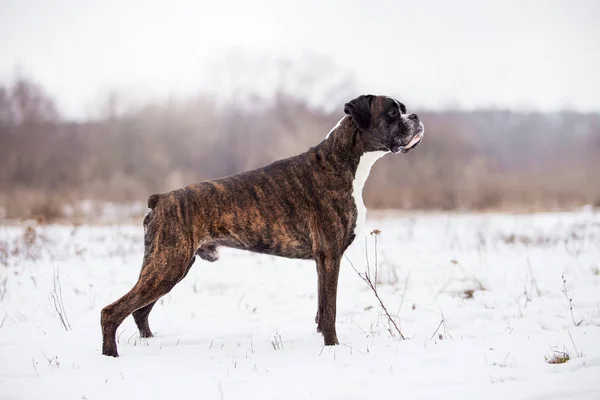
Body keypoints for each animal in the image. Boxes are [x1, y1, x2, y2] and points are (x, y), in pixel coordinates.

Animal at [101, 94, 424, 356]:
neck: (342, 161)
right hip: (167, 266)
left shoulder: (323, 261)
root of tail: (161, 199)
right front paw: (333, 348)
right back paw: (111, 355)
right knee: (111, 312)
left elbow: (322, 310)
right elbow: (330, 310)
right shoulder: (329, 256)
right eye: (392, 113)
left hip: (168, 267)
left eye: (403, 110)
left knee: (139, 312)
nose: (416, 117)